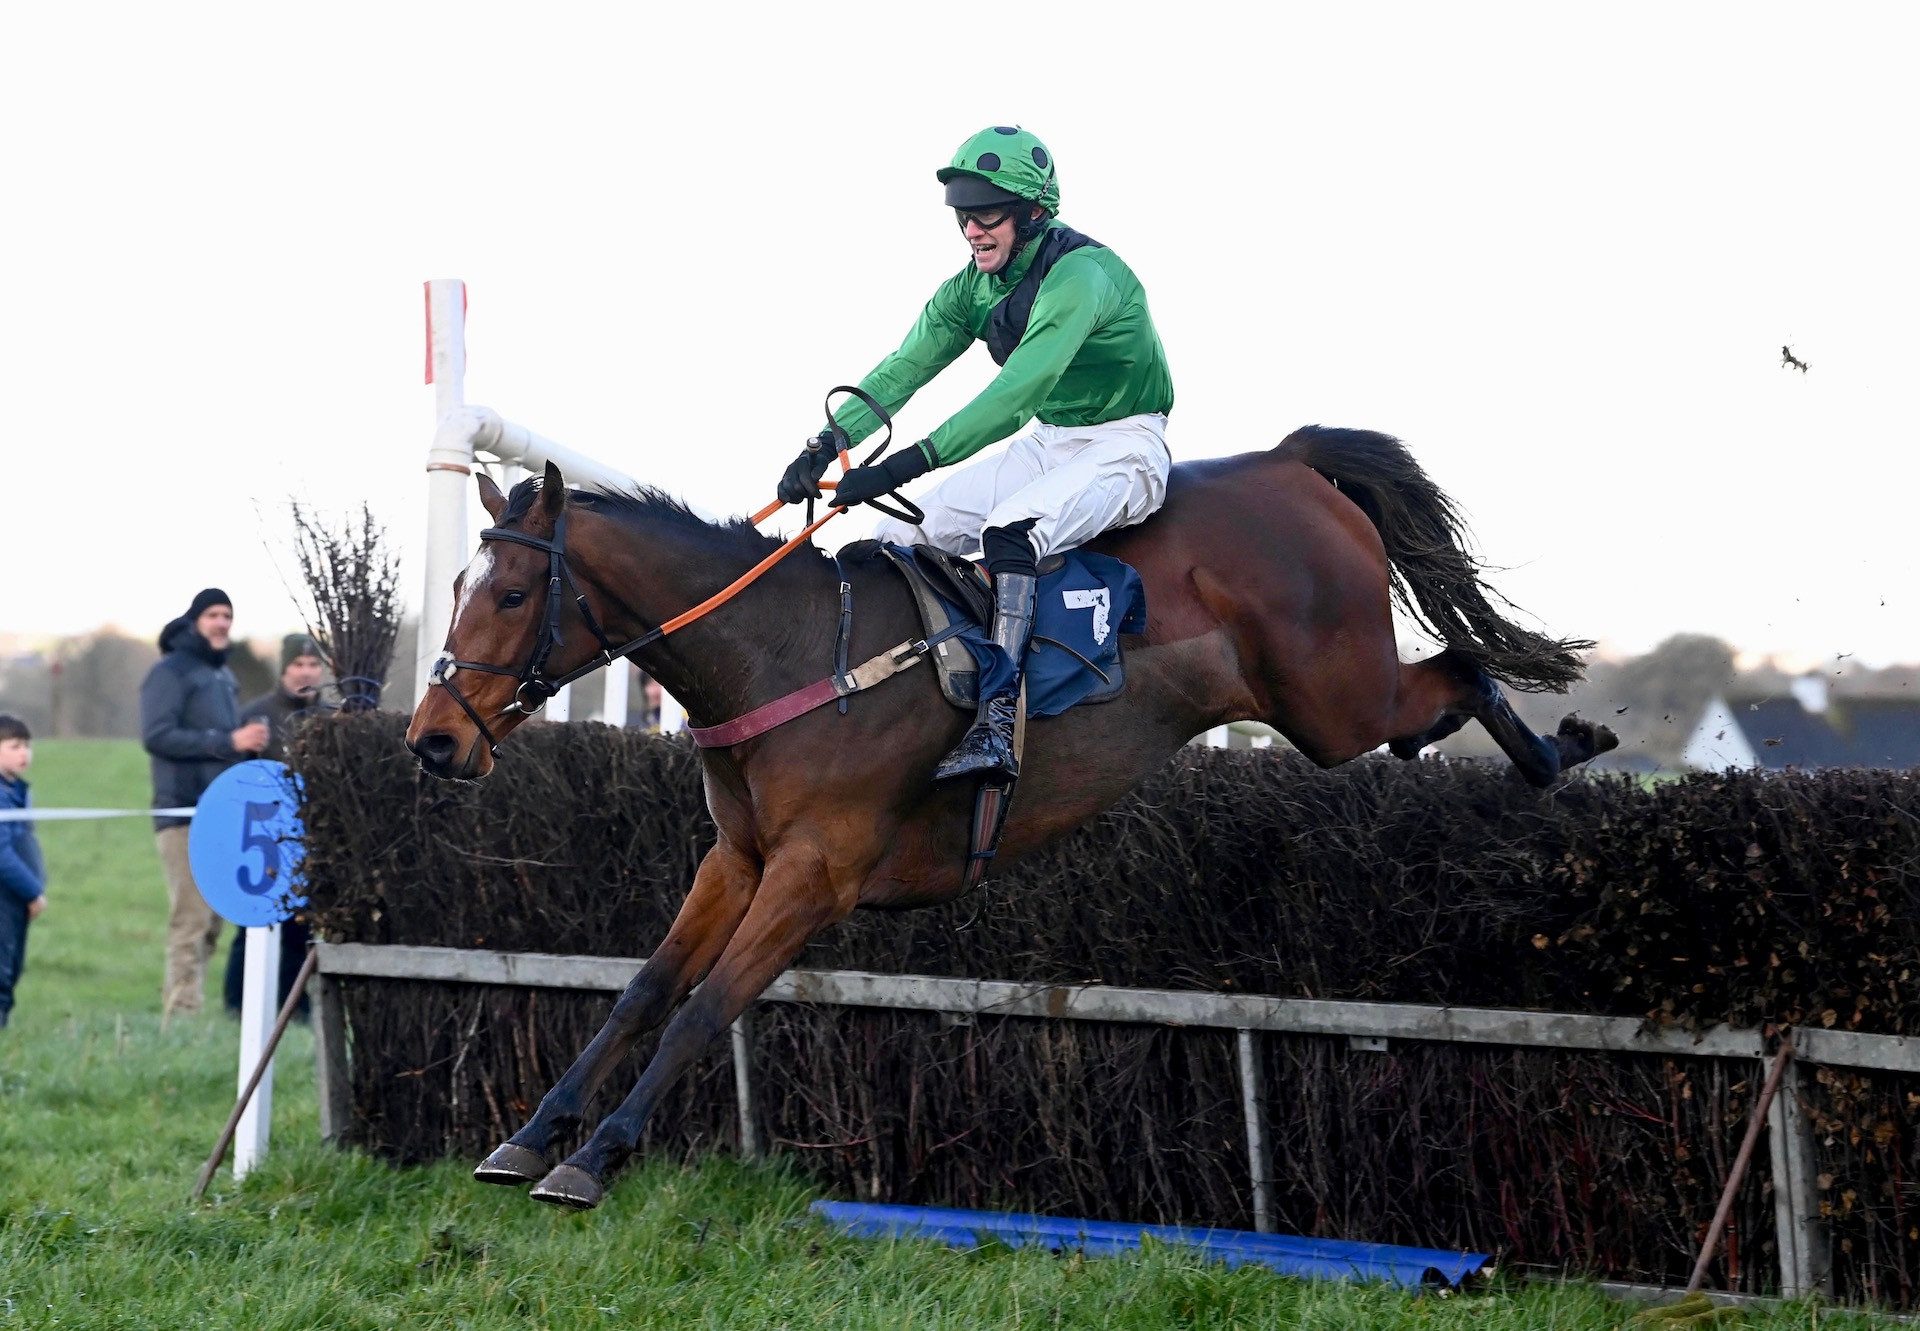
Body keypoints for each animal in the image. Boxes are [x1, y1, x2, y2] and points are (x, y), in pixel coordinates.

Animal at [408, 426, 1620, 1206]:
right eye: (460, 587)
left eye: (509, 594)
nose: (433, 739)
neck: (786, 653)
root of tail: (1287, 460)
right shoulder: (737, 857)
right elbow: (645, 989)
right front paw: (528, 1136)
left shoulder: (816, 873)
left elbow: (706, 1007)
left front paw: (596, 1156)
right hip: (1327, 701)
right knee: (1442, 685)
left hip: (1332, 698)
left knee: (1458, 667)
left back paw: (1564, 750)